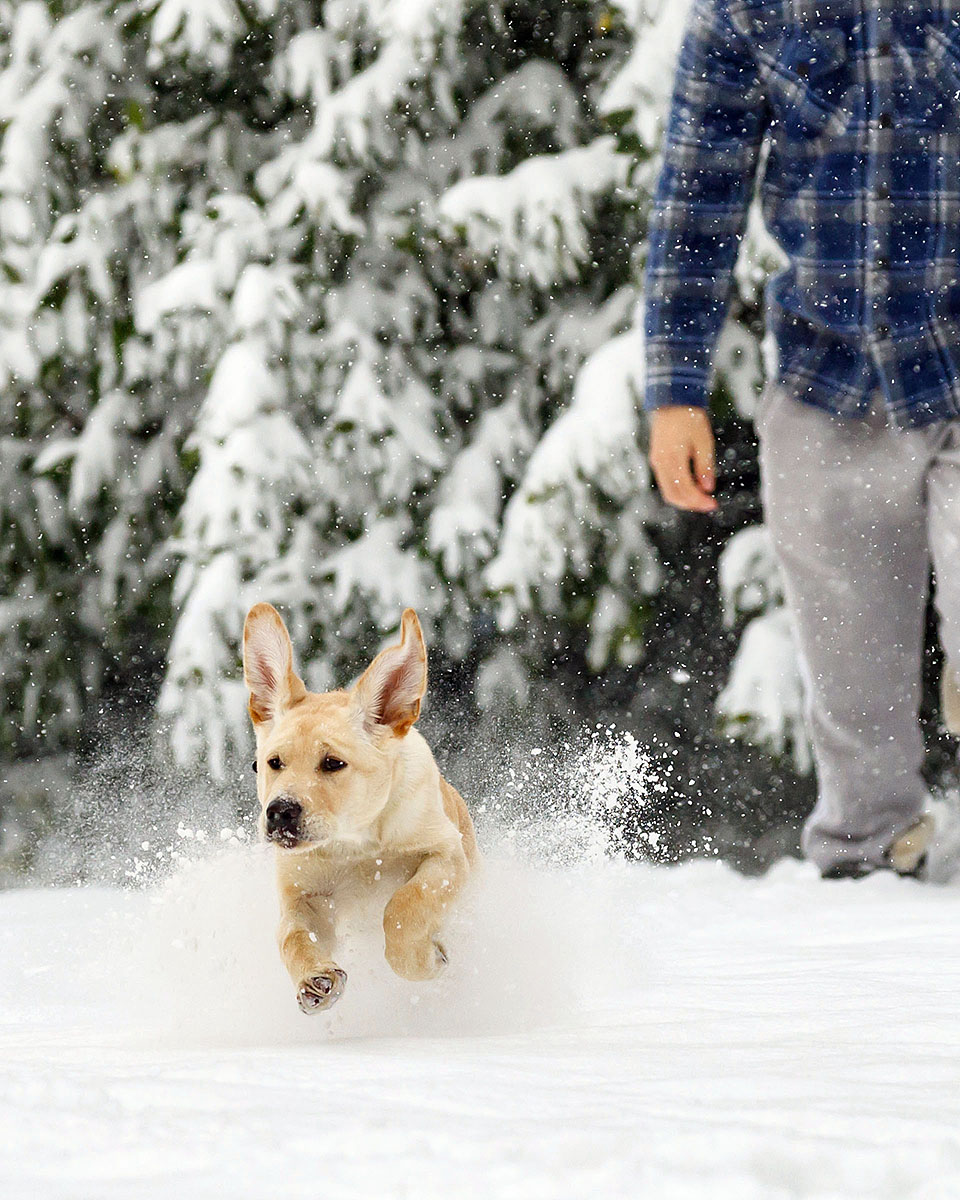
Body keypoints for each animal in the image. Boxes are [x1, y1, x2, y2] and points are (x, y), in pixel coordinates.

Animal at [242, 604, 477, 1008]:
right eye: (270, 763)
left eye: (333, 763)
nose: (279, 812)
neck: (354, 843)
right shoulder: (301, 892)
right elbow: (292, 934)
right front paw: (315, 977)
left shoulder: (447, 855)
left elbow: (403, 906)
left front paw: (426, 960)